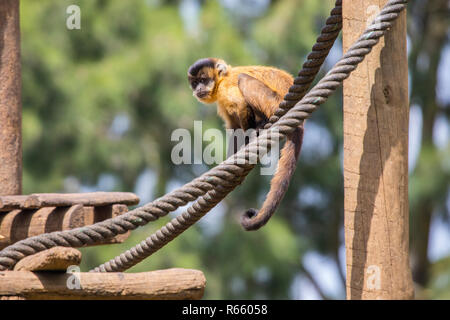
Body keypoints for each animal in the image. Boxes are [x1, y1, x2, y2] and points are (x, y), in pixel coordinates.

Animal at [188, 57, 304, 231]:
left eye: (203, 80)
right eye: (195, 83)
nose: (199, 88)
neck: (221, 80)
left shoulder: (226, 87)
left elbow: (241, 105)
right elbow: (234, 128)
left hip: (273, 103)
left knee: (243, 79)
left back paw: (261, 125)